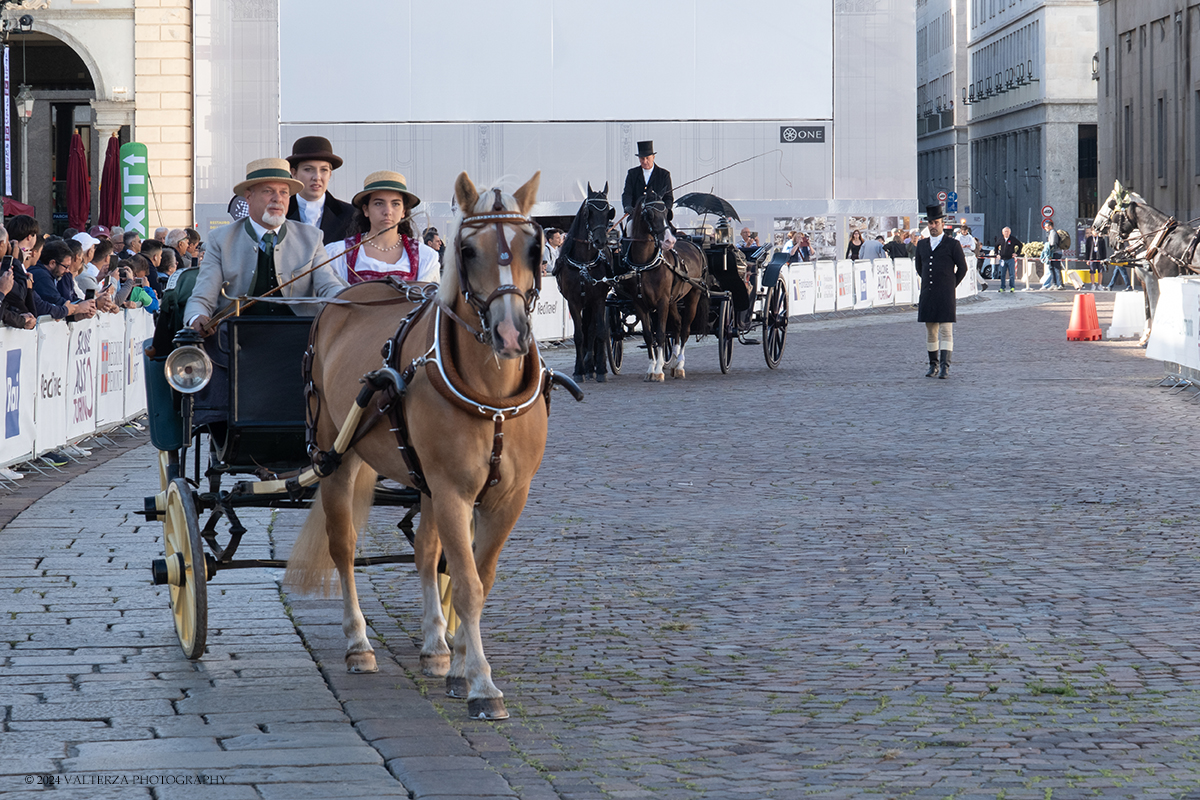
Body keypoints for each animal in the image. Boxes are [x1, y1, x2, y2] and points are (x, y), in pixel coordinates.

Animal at [288, 172, 554, 724]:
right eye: (467, 249)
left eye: (533, 246)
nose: (510, 333)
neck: (492, 397)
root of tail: (345, 299)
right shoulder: (453, 491)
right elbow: (468, 585)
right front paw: (481, 685)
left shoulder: (506, 496)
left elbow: (474, 575)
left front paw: (457, 664)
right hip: (335, 458)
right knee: (343, 547)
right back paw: (359, 645)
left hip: (423, 480)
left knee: (427, 553)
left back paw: (435, 648)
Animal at [554, 183, 614, 383]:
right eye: (589, 212)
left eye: (608, 212)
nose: (600, 241)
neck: (583, 264)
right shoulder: (573, 301)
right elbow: (579, 335)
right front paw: (578, 371)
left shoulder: (599, 300)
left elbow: (600, 331)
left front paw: (601, 369)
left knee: (593, 330)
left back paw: (592, 365)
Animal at [1099, 179, 1200, 343]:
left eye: (1111, 210)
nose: (1112, 241)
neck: (1162, 238)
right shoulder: (1145, 280)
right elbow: (1148, 307)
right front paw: (1147, 334)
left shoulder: (1158, 278)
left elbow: (1155, 306)